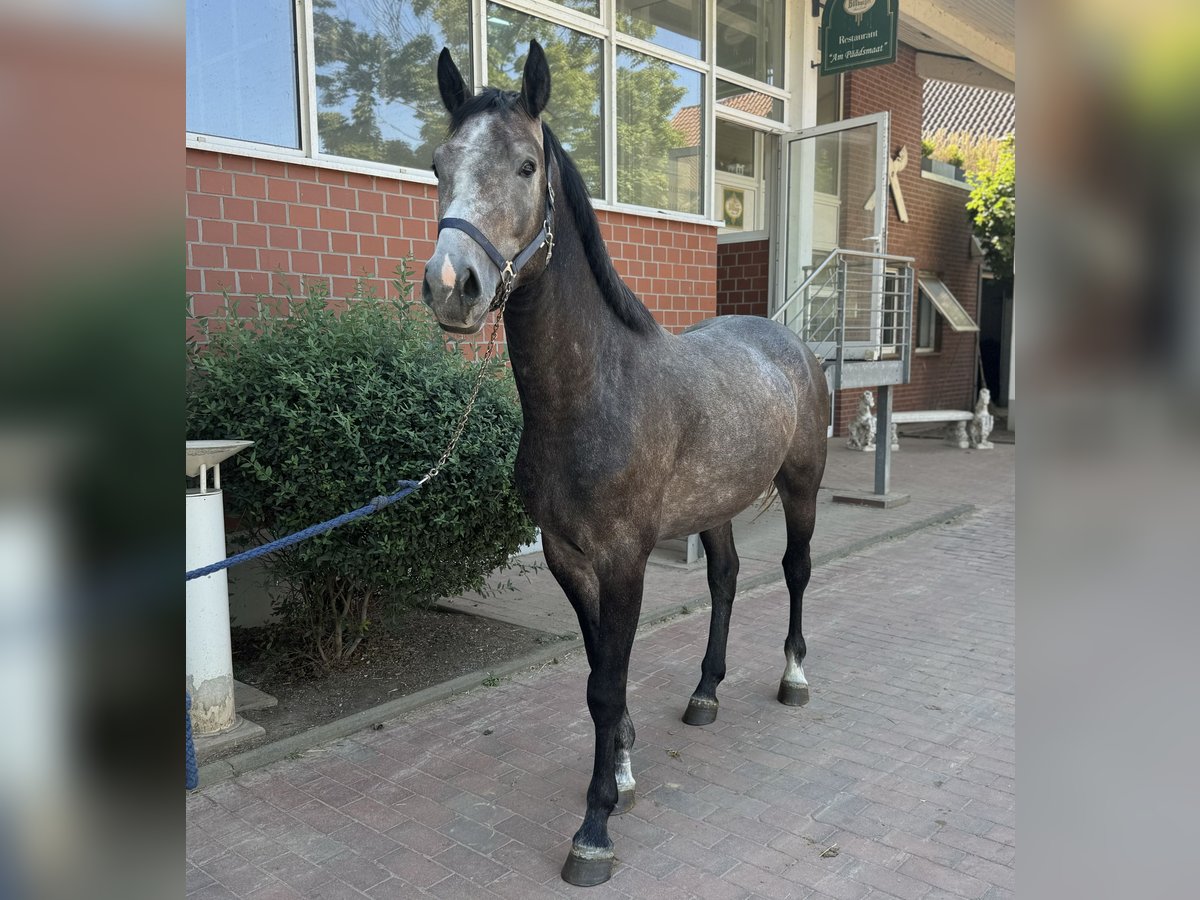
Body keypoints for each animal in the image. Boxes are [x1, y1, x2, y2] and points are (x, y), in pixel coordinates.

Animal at [420, 42, 825, 888]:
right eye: (438, 163)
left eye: (526, 164)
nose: (451, 286)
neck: (596, 392)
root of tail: (788, 341)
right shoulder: (568, 559)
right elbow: (596, 678)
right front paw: (624, 773)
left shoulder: (625, 560)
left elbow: (608, 683)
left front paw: (595, 828)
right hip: (715, 507)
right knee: (726, 579)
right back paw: (705, 693)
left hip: (803, 487)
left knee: (797, 571)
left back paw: (794, 678)